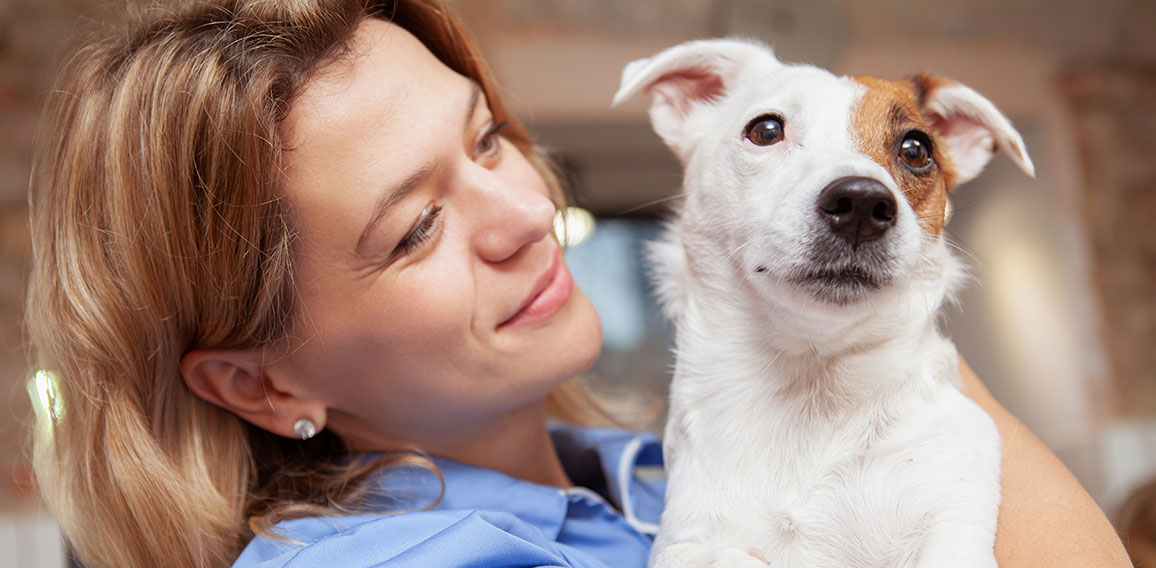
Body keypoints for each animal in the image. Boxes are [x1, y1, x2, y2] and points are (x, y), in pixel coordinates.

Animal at [614, 37, 1040, 566]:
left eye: (916, 148)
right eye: (766, 130)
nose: (862, 203)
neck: (812, 379)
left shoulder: (953, 514)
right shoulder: (685, 541)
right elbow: (724, 555)